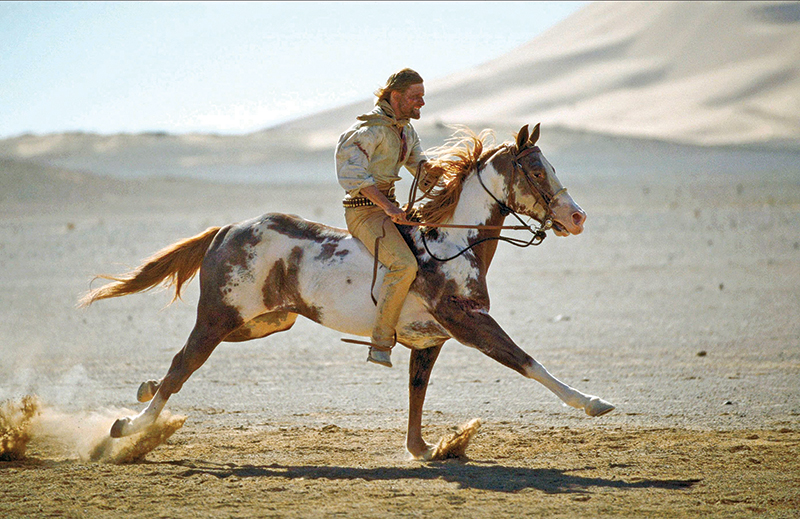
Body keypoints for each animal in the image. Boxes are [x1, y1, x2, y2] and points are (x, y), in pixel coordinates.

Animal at [80, 123, 615, 460]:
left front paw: (423, 449)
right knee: (181, 366)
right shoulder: (470, 323)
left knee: (177, 367)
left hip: (267, 321)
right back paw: (127, 428)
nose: (577, 217)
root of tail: (228, 229)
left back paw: (141, 393)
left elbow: (417, 392)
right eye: (537, 171)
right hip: (217, 317)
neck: (449, 243)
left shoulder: (430, 340)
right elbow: (528, 362)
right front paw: (592, 402)